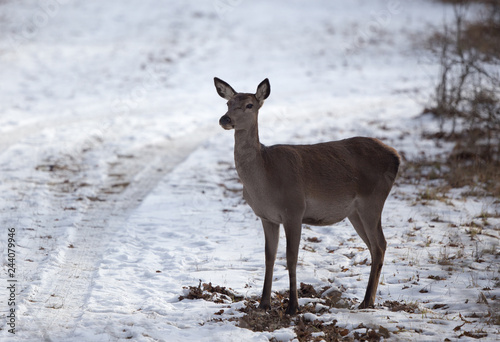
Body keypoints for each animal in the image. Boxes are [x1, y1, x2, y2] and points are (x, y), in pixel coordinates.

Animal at [213, 77, 400, 316]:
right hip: (355, 212)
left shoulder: (294, 210)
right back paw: (369, 301)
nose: (225, 119)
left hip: (373, 200)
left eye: (249, 105)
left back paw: (367, 301)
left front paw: (293, 306)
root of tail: (396, 157)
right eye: (228, 103)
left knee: (379, 244)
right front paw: (264, 303)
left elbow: (291, 258)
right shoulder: (266, 217)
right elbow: (269, 256)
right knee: (375, 246)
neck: (264, 178)